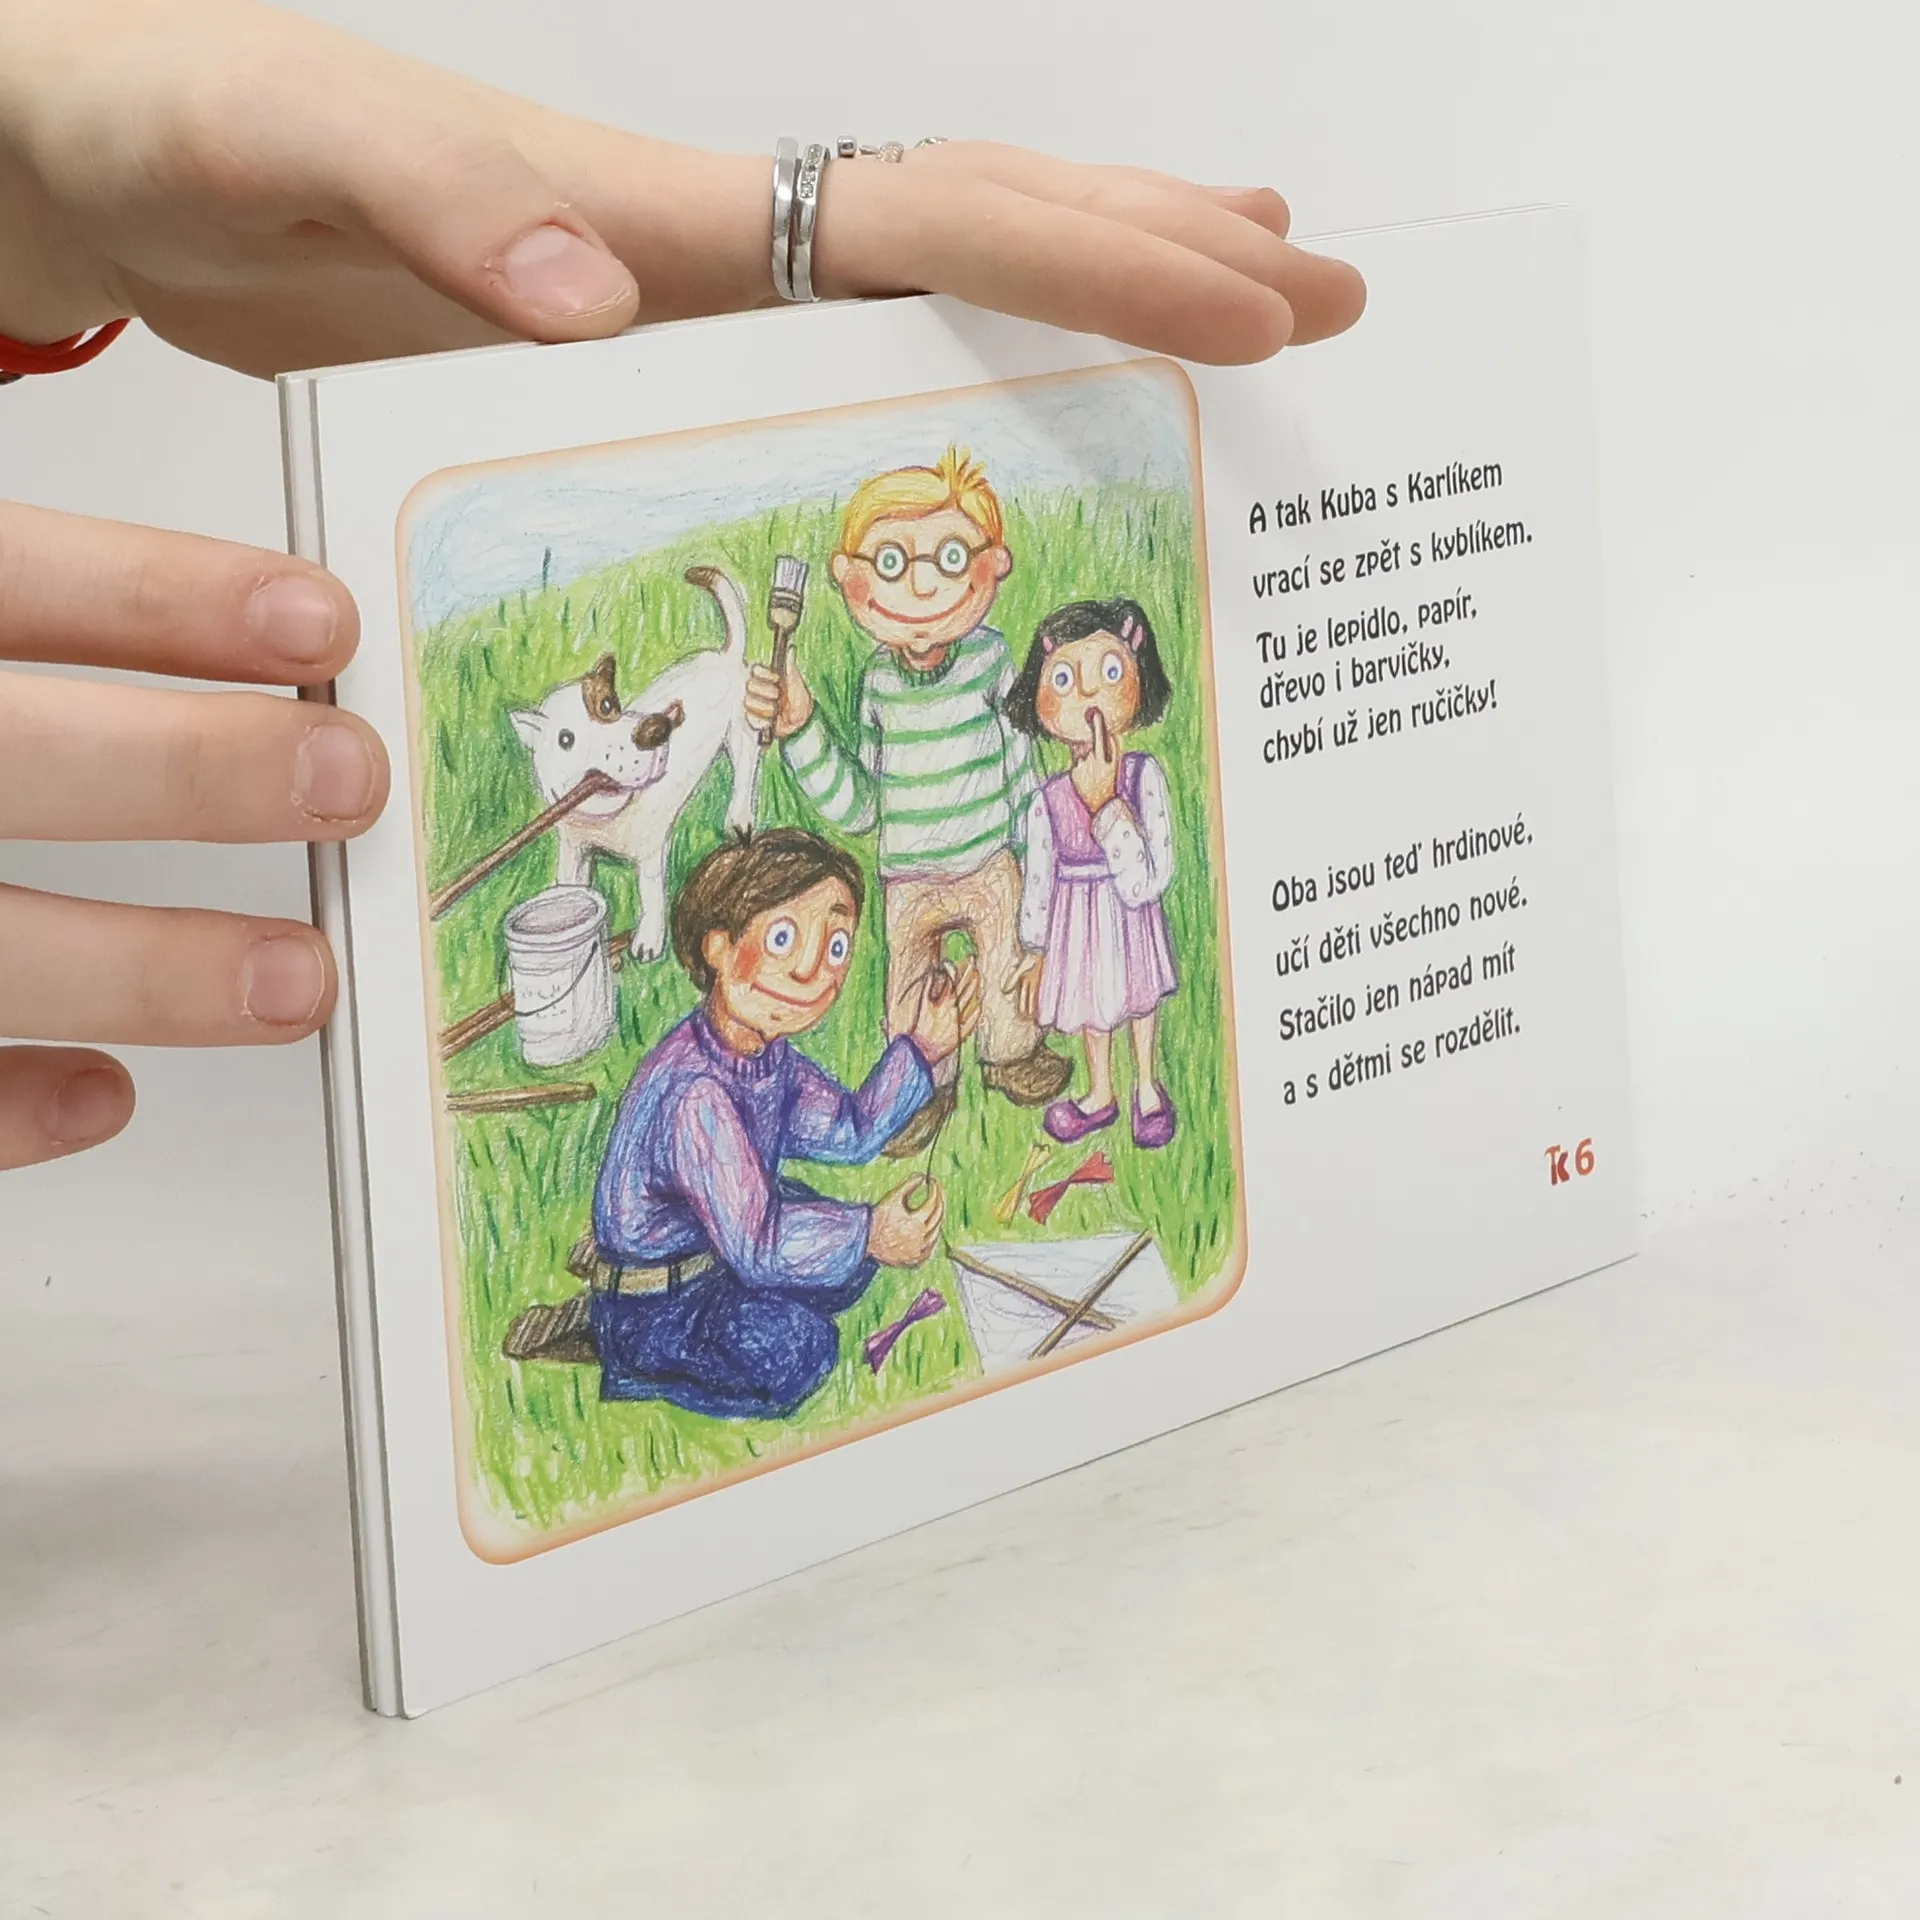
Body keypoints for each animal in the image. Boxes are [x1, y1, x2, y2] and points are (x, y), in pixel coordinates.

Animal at [509, 565, 761, 961]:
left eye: (609, 705)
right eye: (565, 739)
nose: (653, 730)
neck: (606, 818)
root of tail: (726, 655)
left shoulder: (650, 854)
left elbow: (651, 893)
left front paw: (648, 942)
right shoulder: (574, 848)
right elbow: (570, 885)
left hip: (740, 734)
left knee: (746, 770)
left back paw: (738, 818)